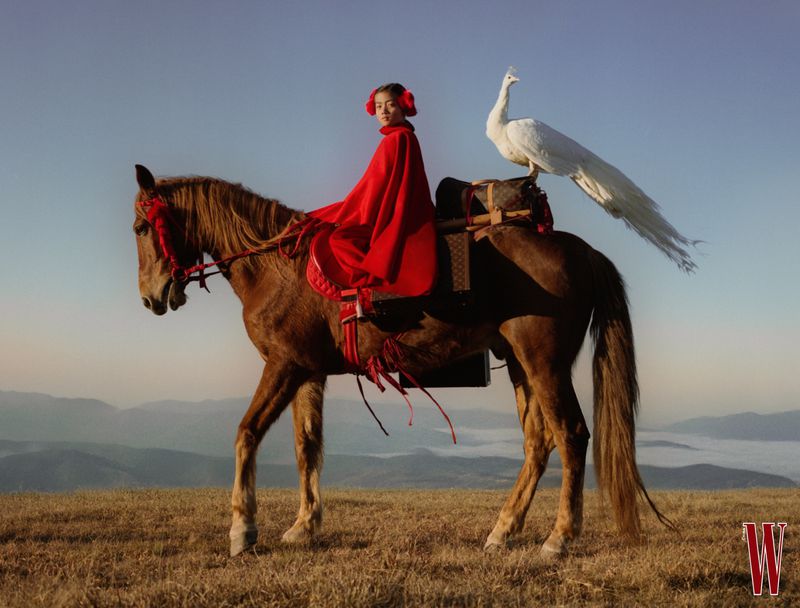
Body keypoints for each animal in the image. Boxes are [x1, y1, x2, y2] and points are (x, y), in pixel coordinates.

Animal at [131, 164, 672, 558]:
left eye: (140, 227)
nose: (151, 298)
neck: (277, 268)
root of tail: (580, 249)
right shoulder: (308, 372)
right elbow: (307, 447)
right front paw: (304, 526)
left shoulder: (283, 366)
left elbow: (246, 434)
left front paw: (243, 530)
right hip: (521, 363)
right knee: (539, 442)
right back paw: (502, 530)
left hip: (546, 361)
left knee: (572, 435)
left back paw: (558, 538)